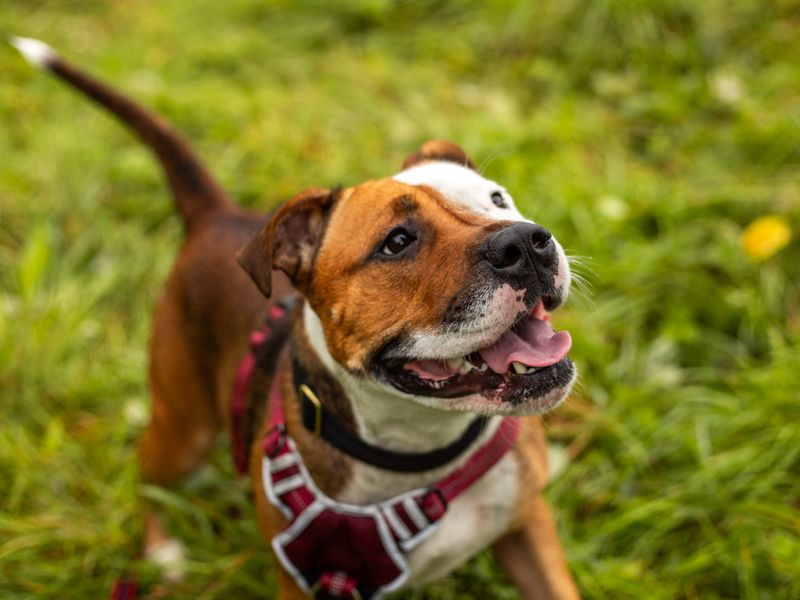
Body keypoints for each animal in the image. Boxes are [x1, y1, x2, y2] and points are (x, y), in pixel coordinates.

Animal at [14, 36, 580, 600]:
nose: (527, 242)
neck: (419, 457)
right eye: (397, 242)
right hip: (184, 427)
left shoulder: (528, 527)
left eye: (497, 199)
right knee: (148, 471)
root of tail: (216, 215)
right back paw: (162, 551)